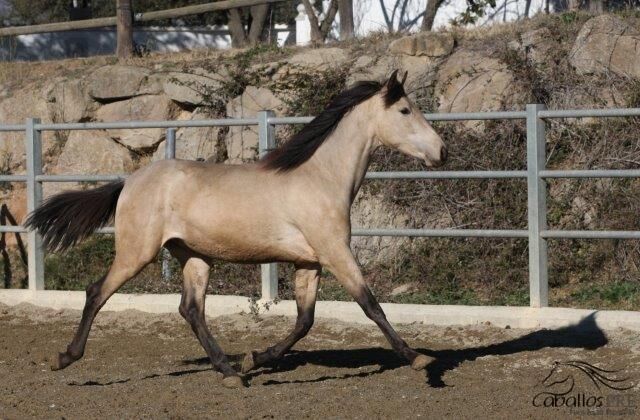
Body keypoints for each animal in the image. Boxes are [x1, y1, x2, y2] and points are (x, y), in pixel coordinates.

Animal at [27, 70, 448, 388]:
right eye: (405, 110)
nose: (441, 151)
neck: (320, 179)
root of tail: (129, 182)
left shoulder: (310, 263)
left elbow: (305, 321)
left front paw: (254, 358)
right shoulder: (335, 253)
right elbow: (370, 304)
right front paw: (419, 359)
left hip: (194, 256)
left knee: (191, 309)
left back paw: (230, 372)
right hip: (137, 253)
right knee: (97, 293)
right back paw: (65, 357)